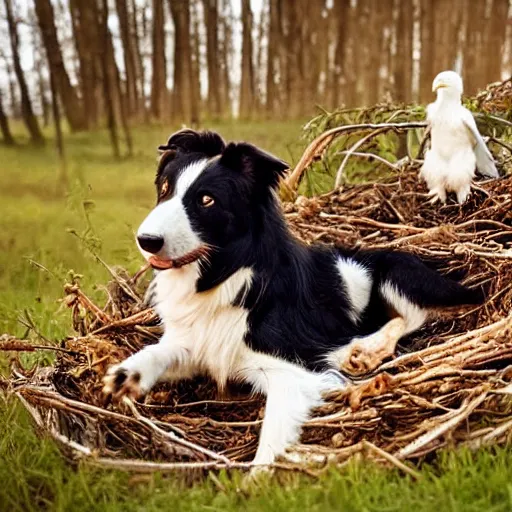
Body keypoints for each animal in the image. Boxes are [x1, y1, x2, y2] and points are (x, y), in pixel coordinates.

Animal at [103, 130, 480, 466]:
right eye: (165, 190)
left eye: (206, 200)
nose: (146, 240)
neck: (228, 274)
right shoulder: (201, 345)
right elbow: (162, 350)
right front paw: (128, 374)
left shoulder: (295, 372)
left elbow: (273, 429)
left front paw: (257, 479)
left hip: (391, 273)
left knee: (411, 317)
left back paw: (364, 349)